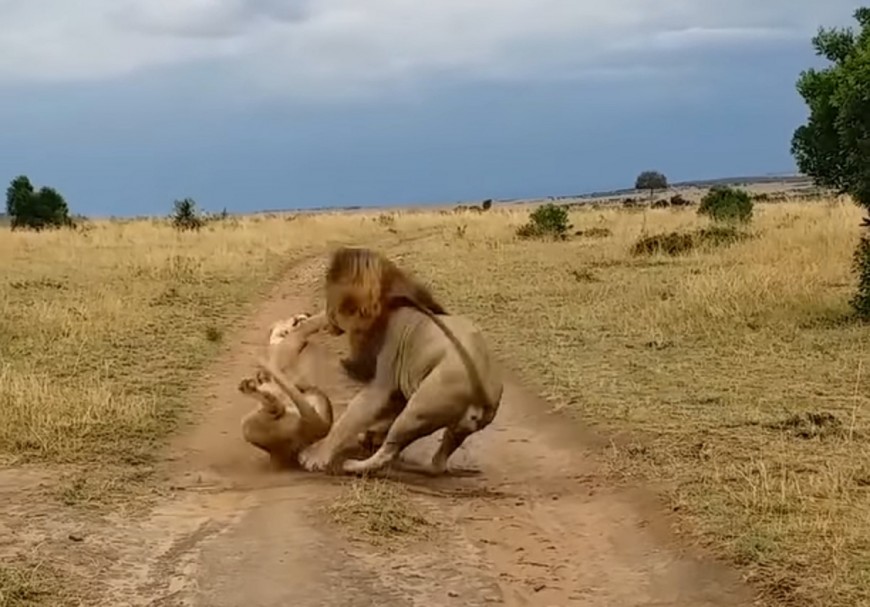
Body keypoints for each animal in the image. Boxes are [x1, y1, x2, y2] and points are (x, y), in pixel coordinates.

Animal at [297, 247, 503, 476]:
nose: (325, 317)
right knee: (439, 461)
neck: (388, 300)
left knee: (389, 451)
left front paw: (316, 456)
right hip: (454, 427)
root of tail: (482, 392)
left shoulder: (384, 380)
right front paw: (370, 435)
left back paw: (354, 465)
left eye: (330, 301)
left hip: (418, 410)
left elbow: (351, 418)